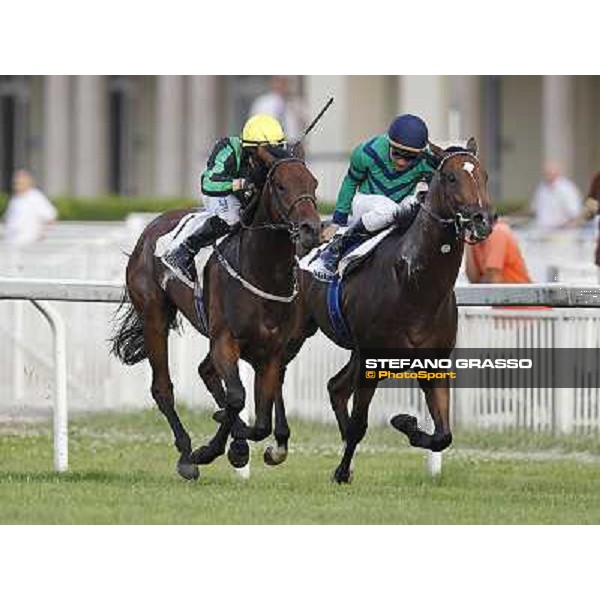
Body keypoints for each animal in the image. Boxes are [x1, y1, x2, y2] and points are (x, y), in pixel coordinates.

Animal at [110, 146, 322, 482]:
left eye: (313, 183)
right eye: (280, 186)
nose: (311, 230)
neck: (262, 270)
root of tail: (152, 226)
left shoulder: (273, 352)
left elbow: (260, 422)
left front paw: (242, 441)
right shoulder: (225, 340)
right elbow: (237, 398)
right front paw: (212, 449)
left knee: (206, 373)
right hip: (155, 315)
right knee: (163, 388)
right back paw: (187, 454)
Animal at [278, 139, 494, 482]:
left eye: (484, 176)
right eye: (450, 178)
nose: (482, 219)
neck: (414, 284)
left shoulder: (433, 361)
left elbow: (443, 434)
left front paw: (406, 423)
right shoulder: (372, 360)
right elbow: (359, 424)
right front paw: (341, 471)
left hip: (356, 349)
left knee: (336, 387)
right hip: (296, 332)